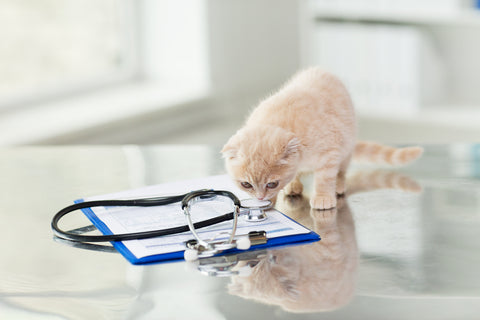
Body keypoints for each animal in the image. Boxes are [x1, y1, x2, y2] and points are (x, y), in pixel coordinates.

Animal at [222, 67, 424, 210]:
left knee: (341, 171)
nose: (260, 197)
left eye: (272, 183)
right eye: (246, 184)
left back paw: (339, 185)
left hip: (346, 147)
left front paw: (323, 197)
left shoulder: (330, 152)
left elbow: (324, 179)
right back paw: (293, 186)